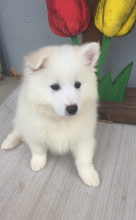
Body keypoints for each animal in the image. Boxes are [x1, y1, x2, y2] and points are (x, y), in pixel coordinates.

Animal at [1, 43, 100, 187]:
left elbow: (84, 159)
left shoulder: (84, 137)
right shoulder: (34, 132)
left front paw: (89, 175)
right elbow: (38, 150)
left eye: (78, 84)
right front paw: (38, 162)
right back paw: (9, 142)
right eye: (54, 86)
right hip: (22, 120)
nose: (72, 109)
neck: (59, 119)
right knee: (16, 131)